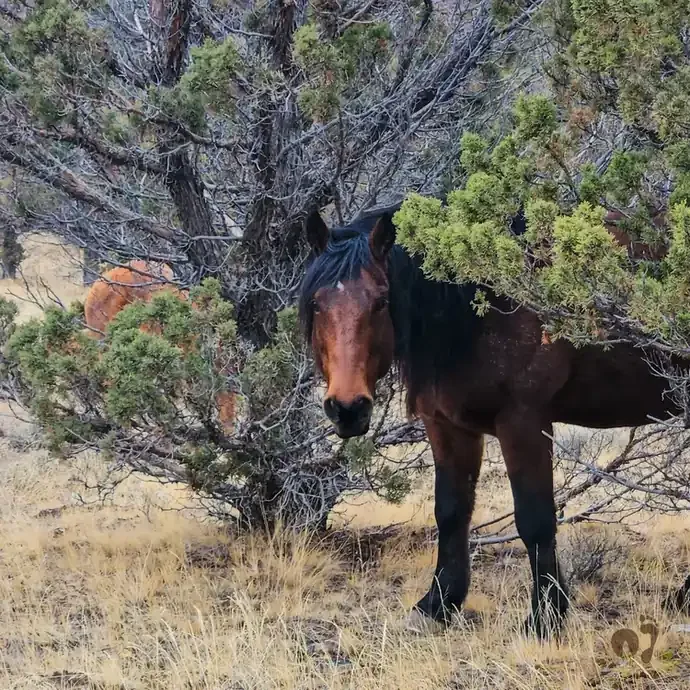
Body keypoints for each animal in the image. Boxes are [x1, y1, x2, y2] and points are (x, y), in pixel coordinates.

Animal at [298, 203, 689, 639]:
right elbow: (451, 512)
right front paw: (438, 604)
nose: (348, 408)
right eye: (316, 304)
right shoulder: (447, 425)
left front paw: (544, 619)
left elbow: (535, 520)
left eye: (382, 302)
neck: (482, 308)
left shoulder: (523, 421)